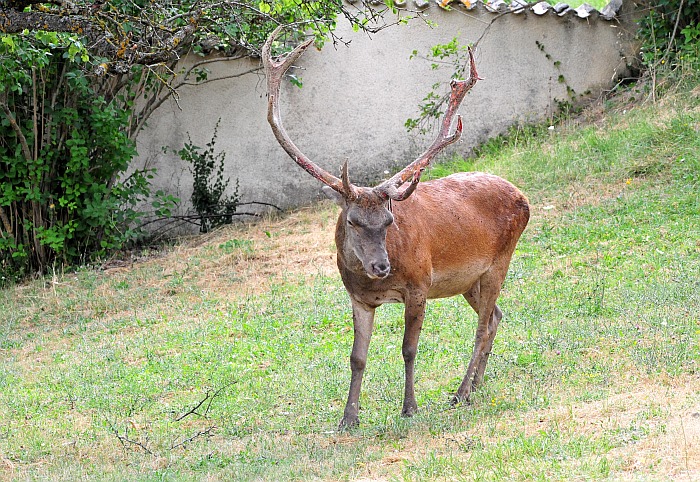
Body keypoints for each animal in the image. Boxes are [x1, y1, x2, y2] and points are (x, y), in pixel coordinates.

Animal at [262, 26, 532, 428]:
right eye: (353, 221)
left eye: (389, 221)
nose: (381, 266)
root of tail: (523, 196)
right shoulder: (358, 298)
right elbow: (357, 357)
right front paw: (349, 418)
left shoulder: (420, 285)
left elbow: (409, 349)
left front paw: (409, 407)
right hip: (468, 280)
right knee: (496, 316)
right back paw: (476, 385)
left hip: (500, 260)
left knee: (483, 326)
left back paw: (460, 392)